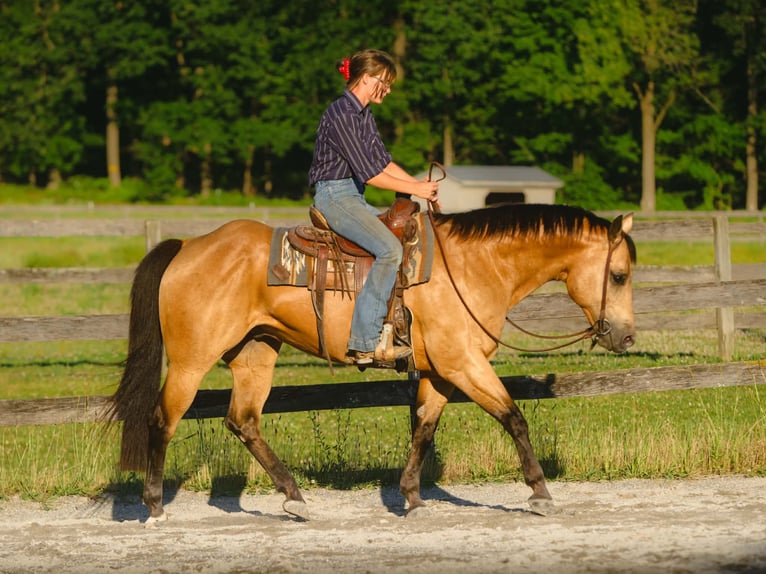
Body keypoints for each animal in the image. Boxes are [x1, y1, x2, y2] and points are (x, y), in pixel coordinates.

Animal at [107, 202, 636, 524]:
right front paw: (540, 493)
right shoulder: (463, 365)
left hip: (255, 352)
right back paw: (154, 507)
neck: (472, 267)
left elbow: (424, 427)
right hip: (191, 362)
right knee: (163, 420)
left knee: (244, 421)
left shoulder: (440, 373)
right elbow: (513, 417)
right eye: (619, 275)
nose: (626, 336)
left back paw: (295, 498)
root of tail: (188, 247)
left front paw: (412, 497)